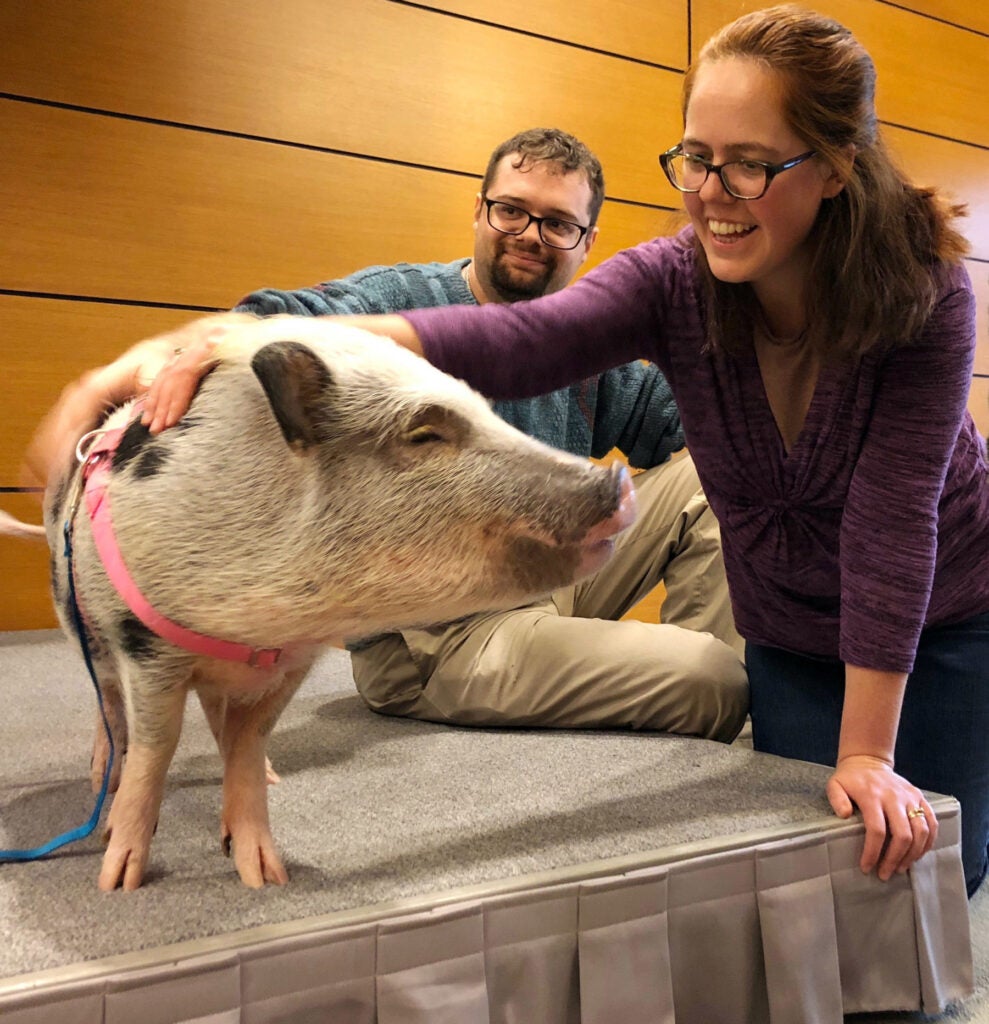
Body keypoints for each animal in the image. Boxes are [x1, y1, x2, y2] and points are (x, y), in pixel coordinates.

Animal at [5, 317, 634, 888]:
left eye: (489, 412)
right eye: (424, 434)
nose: (616, 481)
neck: (257, 631)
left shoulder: (295, 661)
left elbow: (248, 743)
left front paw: (266, 875)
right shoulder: (147, 646)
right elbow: (157, 748)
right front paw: (120, 879)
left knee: (216, 714)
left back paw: (271, 775)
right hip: (84, 625)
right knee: (110, 704)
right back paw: (101, 782)